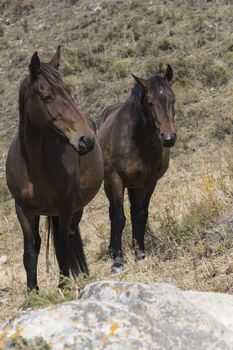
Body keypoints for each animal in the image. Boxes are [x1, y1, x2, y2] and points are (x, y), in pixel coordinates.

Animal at [5, 47, 103, 292]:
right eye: (47, 97)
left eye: (68, 91)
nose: (86, 140)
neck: (36, 168)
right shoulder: (23, 209)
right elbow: (30, 251)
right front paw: (32, 292)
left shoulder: (66, 205)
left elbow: (61, 248)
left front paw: (64, 287)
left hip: (76, 209)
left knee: (69, 238)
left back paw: (81, 275)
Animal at [98, 65, 177, 274]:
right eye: (150, 103)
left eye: (172, 99)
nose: (168, 138)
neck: (137, 140)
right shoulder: (116, 180)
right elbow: (119, 217)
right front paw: (118, 261)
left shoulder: (149, 182)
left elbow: (140, 214)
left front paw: (140, 253)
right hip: (110, 185)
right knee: (112, 212)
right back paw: (112, 250)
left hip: (135, 186)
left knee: (133, 211)